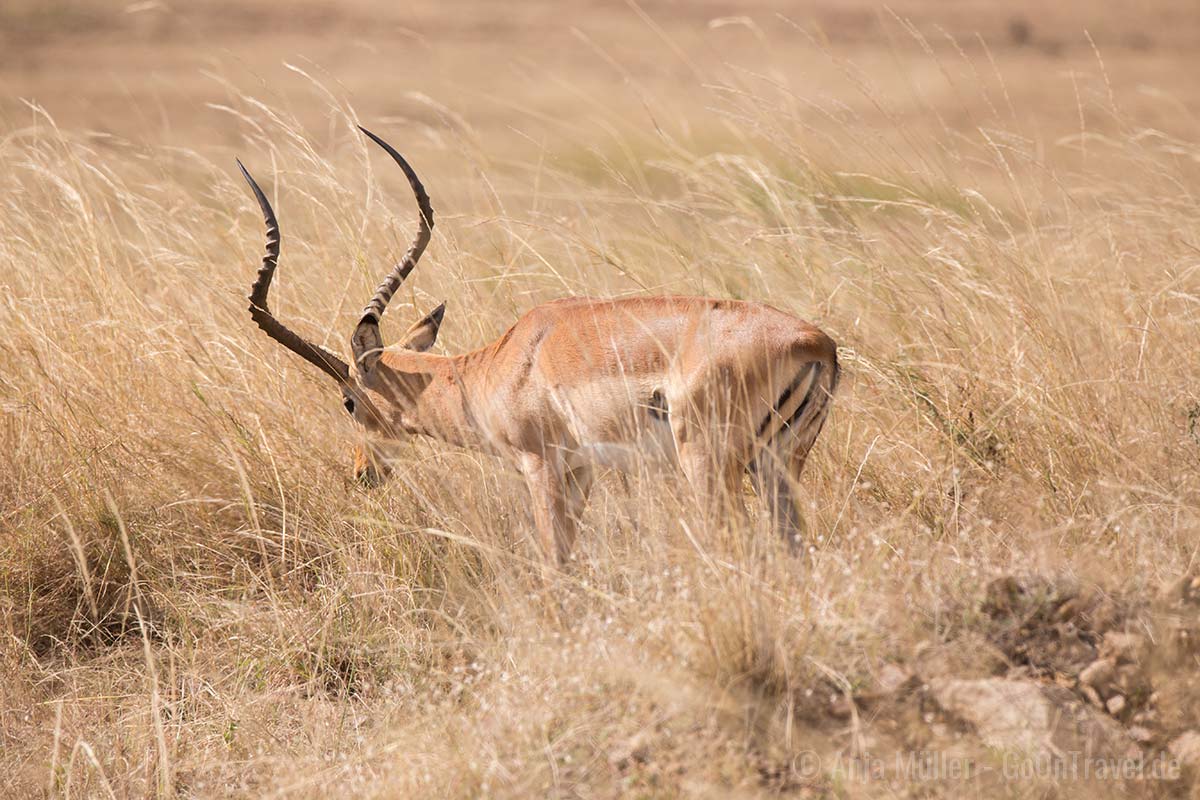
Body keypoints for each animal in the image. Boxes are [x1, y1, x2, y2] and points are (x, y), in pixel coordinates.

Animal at [238, 127, 839, 564]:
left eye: (348, 401)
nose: (362, 473)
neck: (498, 365)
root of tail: (817, 344)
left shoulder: (542, 468)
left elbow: (555, 562)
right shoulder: (582, 473)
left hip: (710, 467)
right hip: (777, 468)